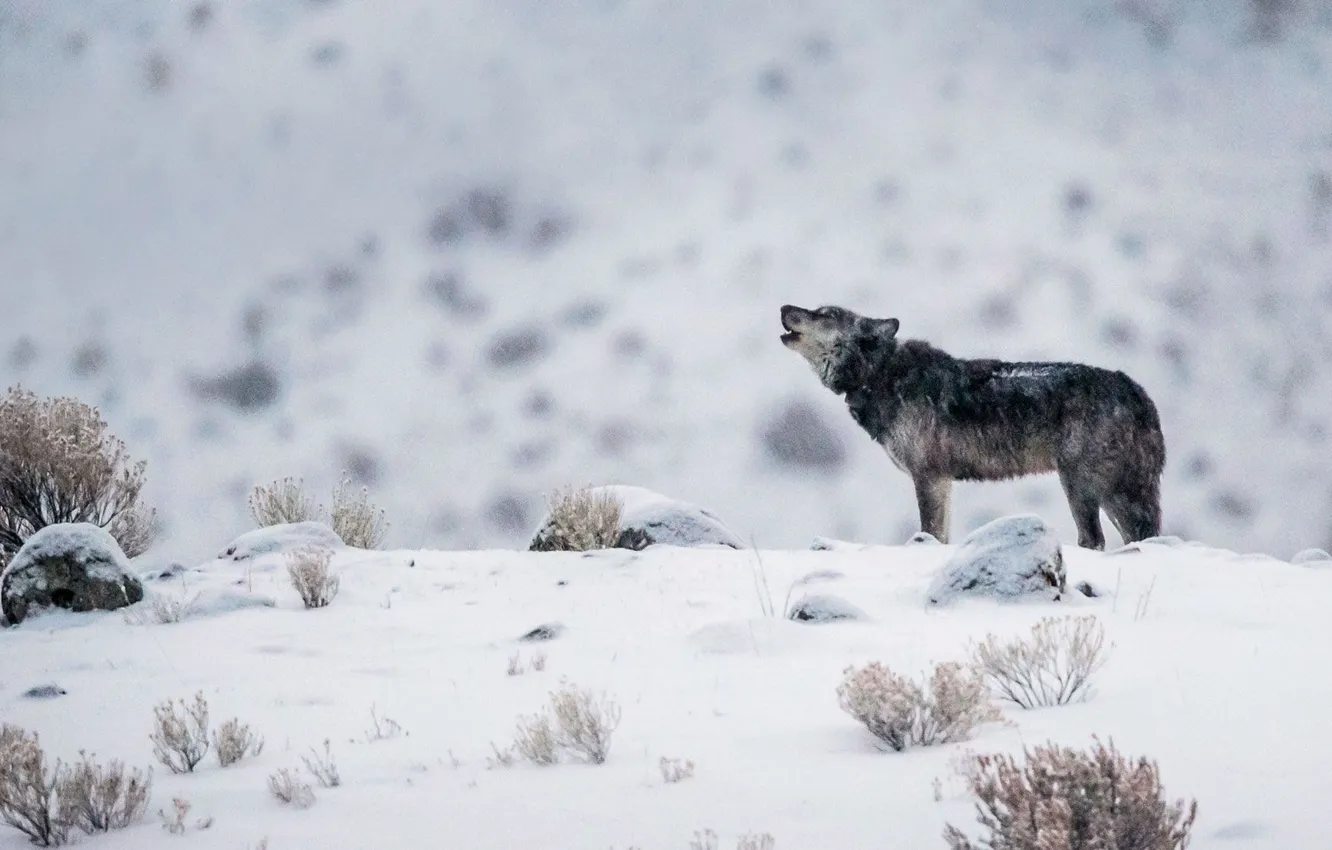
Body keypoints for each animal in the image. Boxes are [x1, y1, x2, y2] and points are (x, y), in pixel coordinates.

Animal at [779, 304, 1165, 549]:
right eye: (817, 309)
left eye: (826, 314)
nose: (784, 306)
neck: (879, 375)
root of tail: (1137, 391)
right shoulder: (943, 481)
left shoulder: (929, 476)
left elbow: (930, 532)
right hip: (1109, 491)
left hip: (1083, 484)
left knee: (1099, 539)